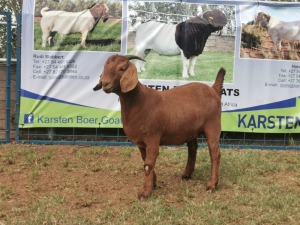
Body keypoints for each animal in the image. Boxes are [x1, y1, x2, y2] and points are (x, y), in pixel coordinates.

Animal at [93, 54, 225, 199]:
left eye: (122, 68)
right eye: (105, 67)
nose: (105, 83)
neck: (139, 100)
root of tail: (213, 89)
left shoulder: (153, 138)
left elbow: (148, 164)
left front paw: (145, 191)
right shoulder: (141, 142)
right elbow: (145, 161)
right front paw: (153, 183)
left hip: (213, 125)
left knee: (215, 153)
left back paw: (212, 185)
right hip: (191, 130)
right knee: (192, 149)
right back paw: (187, 174)